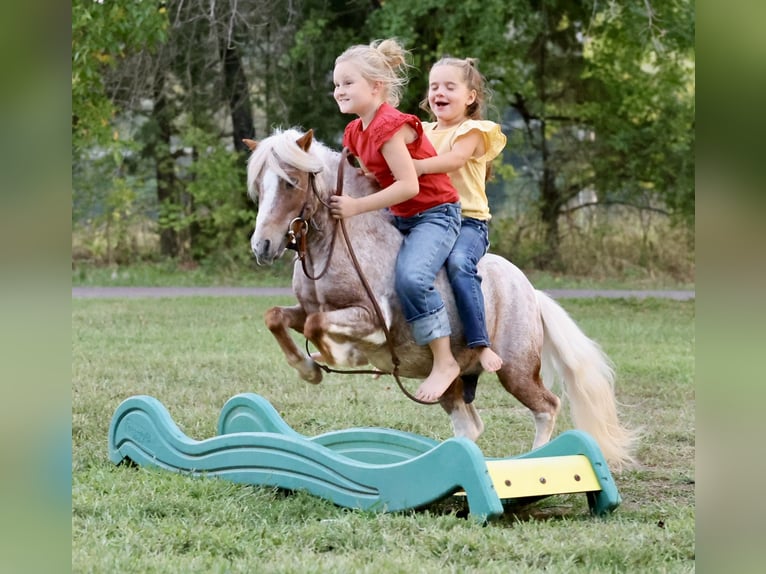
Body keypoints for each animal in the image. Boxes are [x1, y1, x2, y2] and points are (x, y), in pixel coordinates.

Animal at [244, 128, 636, 471]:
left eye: (290, 183)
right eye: (259, 187)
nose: (262, 246)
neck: (339, 241)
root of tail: (532, 292)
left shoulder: (371, 317)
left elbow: (318, 326)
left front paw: (340, 355)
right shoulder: (305, 309)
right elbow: (277, 316)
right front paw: (308, 369)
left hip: (516, 370)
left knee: (547, 407)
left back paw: (536, 459)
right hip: (452, 380)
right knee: (470, 425)